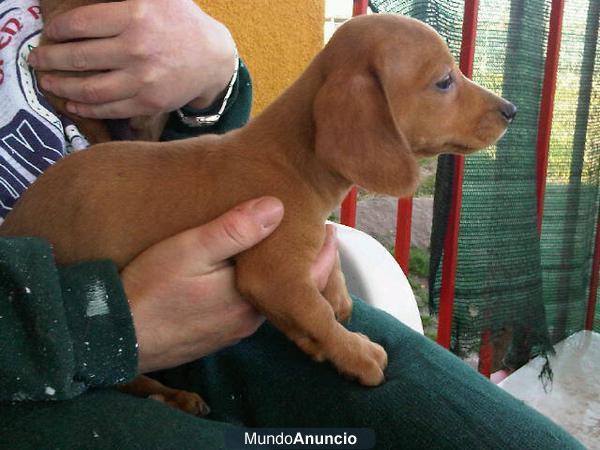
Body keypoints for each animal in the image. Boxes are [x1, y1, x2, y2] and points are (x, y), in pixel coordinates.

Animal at [0, 13, 516, 414]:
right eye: (444, 81)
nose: (510, 109)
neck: (290, 159)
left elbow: (322, 284)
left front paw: (336, 295)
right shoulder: (271, 276)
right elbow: (316, 316)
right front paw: (356, 353)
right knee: (120, 371)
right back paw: (167, 395)